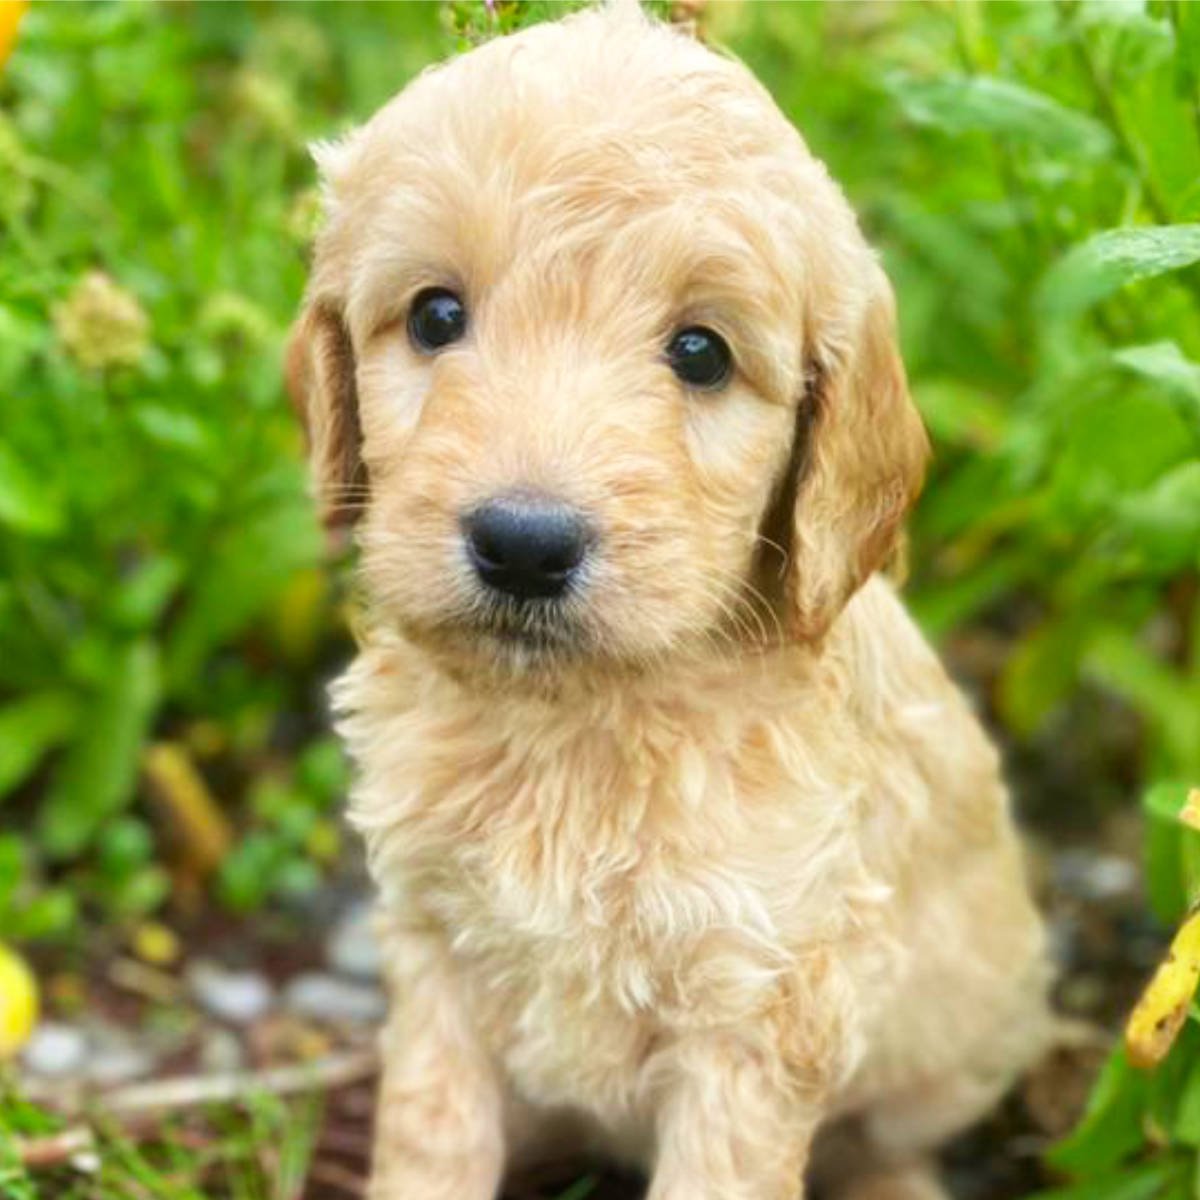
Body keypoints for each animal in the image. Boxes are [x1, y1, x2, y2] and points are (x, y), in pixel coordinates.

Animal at [283, 4, 1051, 1195]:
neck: (573, 724)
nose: (524, 544)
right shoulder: (435, 947)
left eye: (700, 352)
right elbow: (432, 1133)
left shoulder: (759, 1003)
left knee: (891, 1144)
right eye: (435, 316)